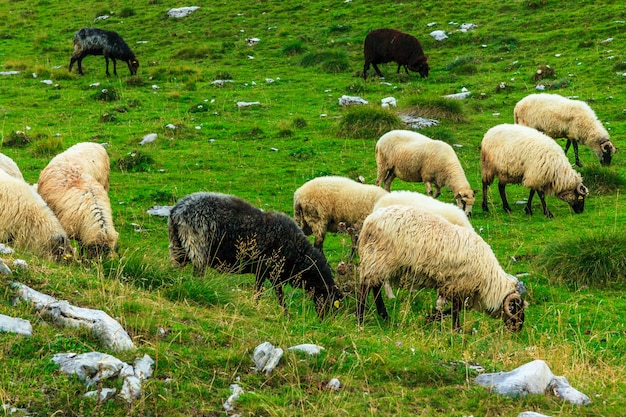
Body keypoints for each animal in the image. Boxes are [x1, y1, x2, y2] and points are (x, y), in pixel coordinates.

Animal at [166, 191, 342, 316]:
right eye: (329, 300)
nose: (324, 320)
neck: (298, 254)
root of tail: (177, 211)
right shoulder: (267, 270)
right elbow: (268, 293)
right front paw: (281, 313)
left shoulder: (270, 273)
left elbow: (272, 293)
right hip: (197, 247)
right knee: (198, 274)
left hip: (178, 246)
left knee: (176, 268)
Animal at [354, 205, 524, 332]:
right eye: (516, 308)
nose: (518, 329)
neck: (488, 279)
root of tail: (369, 220)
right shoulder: (458, 284)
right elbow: (456, 309)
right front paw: (454, 328)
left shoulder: (455, 286)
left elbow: (455, 308)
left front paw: (434, 318)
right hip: (377, 258)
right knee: (366, 287)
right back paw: (360, 318)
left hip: (378, 262)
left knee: (375, 287)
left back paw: (384, 316)